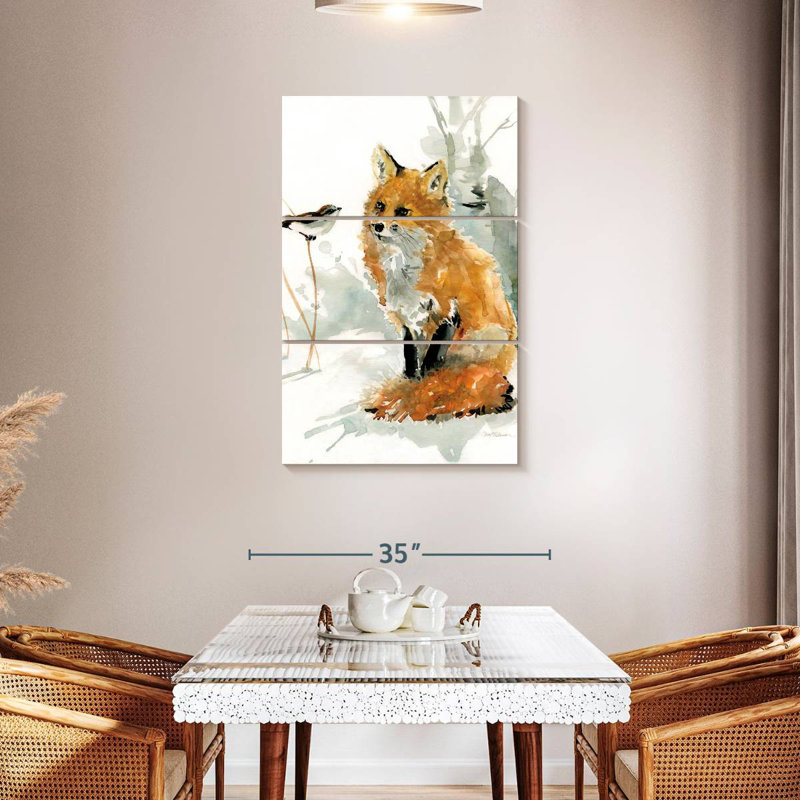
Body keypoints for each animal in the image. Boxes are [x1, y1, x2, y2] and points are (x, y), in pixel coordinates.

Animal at [360, 145, 517, 422]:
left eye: (403, 211)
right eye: (380, 205)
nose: (377, 226)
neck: (405, 270)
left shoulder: (448, 313)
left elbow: (431, 366)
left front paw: (420, 394)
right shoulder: (408, 321)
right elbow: (412, 365)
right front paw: (411, 387)